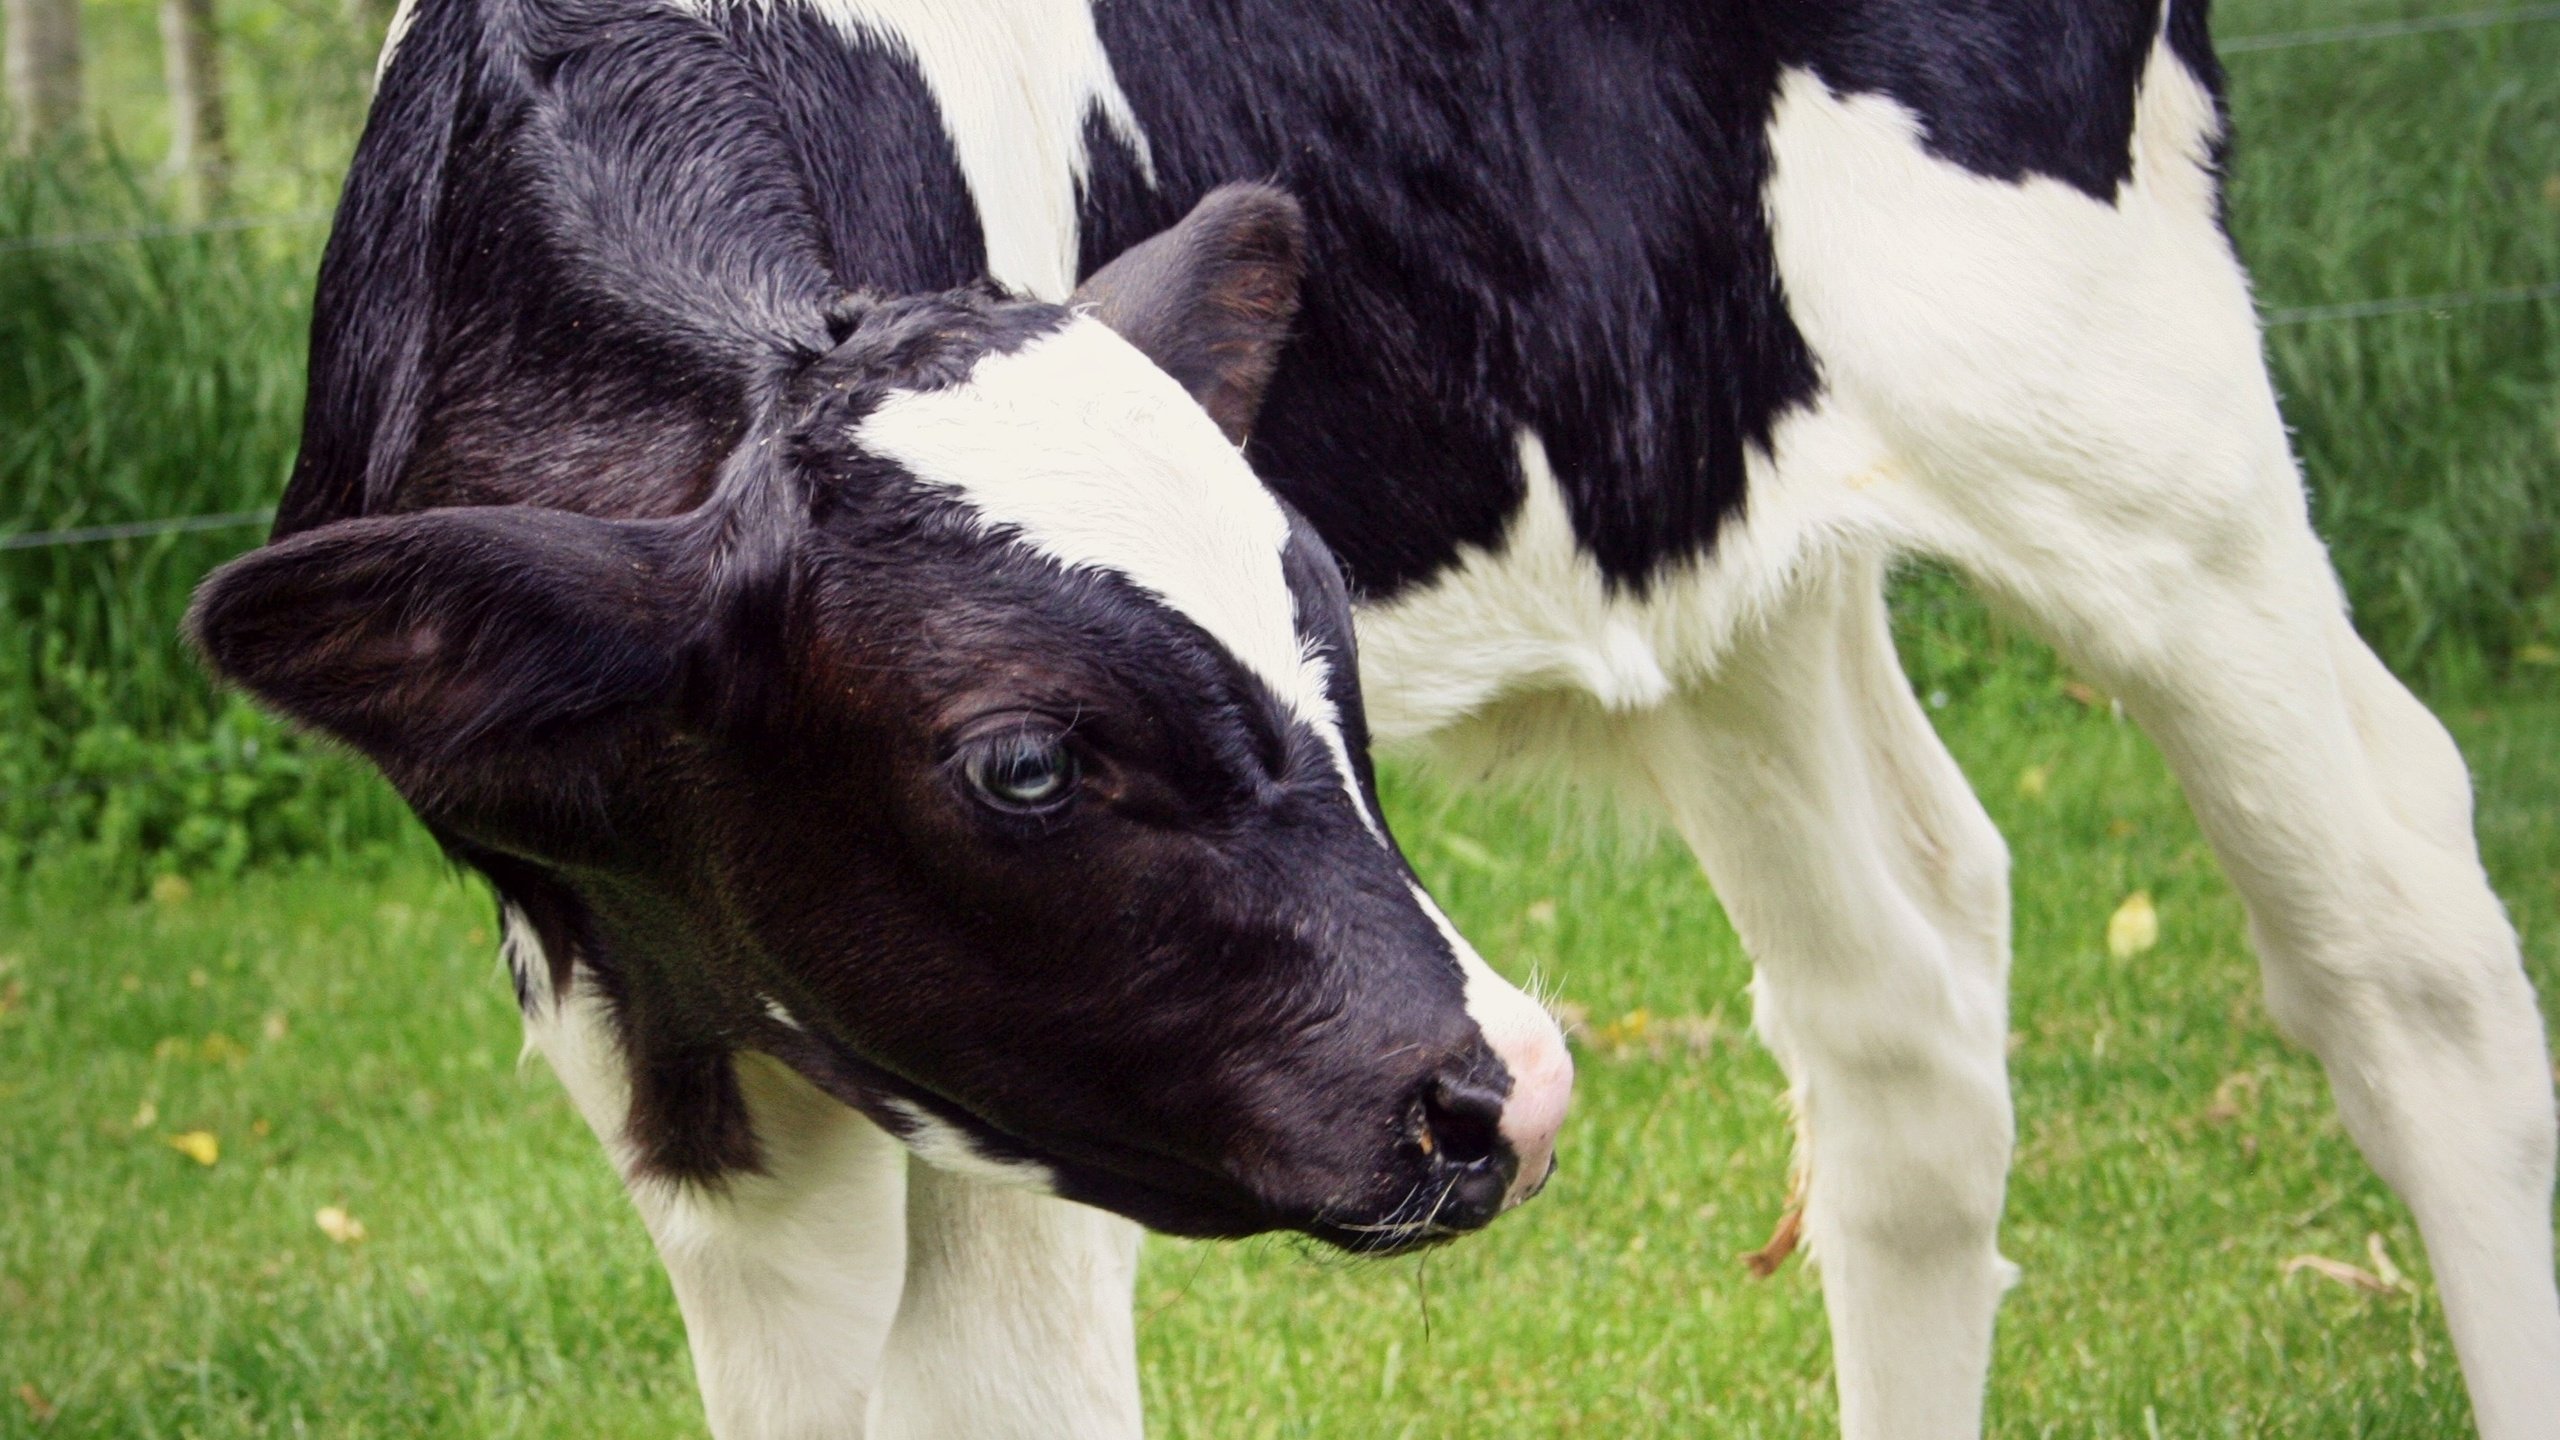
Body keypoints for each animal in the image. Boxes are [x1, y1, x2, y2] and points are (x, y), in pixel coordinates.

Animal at [199, 0, 2560, 1424]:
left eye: (1324, 635)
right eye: (1022, 762)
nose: (1504, 1093)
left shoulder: (1017, 1136)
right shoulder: (655, 1035)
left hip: (2125, 417)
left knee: (2398, 935)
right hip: (1710, 545)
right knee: (1892, 996)